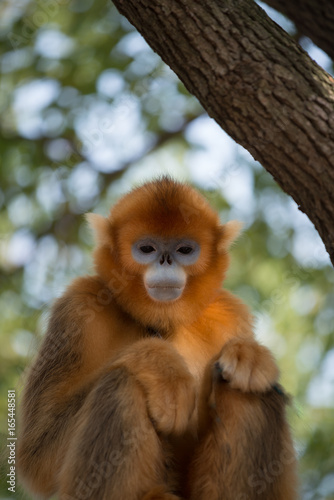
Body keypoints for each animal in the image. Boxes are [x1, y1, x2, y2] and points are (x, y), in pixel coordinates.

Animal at [17, 177, 298, 500]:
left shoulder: (230, 314)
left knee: (248, 386)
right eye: (147, 248)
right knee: (121, 382)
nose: (165, 261)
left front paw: (249, 353)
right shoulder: (78, 307)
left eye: (185, 249)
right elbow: (38, 456)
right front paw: (162, 366)